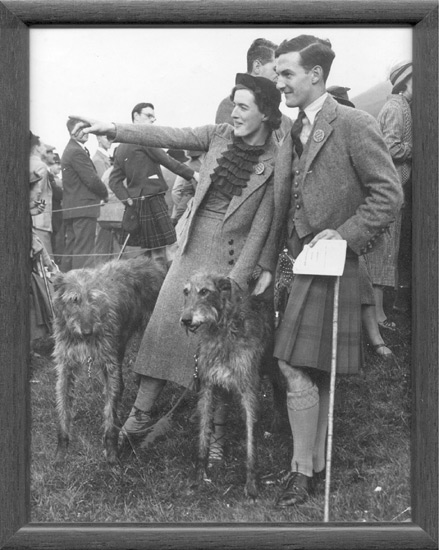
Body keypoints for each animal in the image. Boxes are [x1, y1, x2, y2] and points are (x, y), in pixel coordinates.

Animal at [52, 256, 166, 464]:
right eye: (74, 300)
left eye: (94, 299)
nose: (88, 331)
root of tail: (152, 261)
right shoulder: (65, 367)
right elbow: (63, 407)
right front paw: (61, 450)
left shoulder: (110, 365)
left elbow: (110, 413)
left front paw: (112, 453)